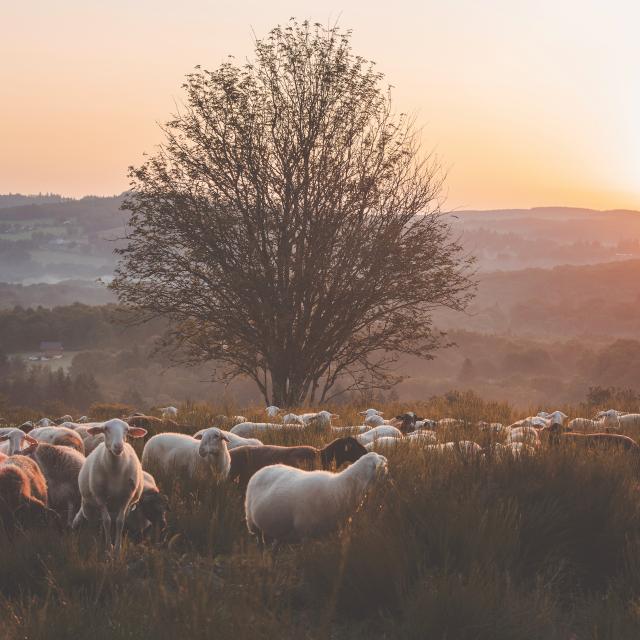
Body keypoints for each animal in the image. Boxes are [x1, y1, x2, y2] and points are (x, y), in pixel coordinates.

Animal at [72, 420, 148, 552]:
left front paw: (117, 548)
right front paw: (108, 547)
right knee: (93, 521)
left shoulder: (126, 498)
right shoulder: (100, 497)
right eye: (105, 429)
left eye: (127, 430)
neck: (115, 471)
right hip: (89, 504)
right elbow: (106, 521)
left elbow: (120, 522)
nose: (118, 446)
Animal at [245, 452, 388, 544]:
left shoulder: (333, 532)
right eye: (384, 467)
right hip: (252, 524)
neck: (339, 488)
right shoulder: (305, 532)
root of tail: (261, 470)